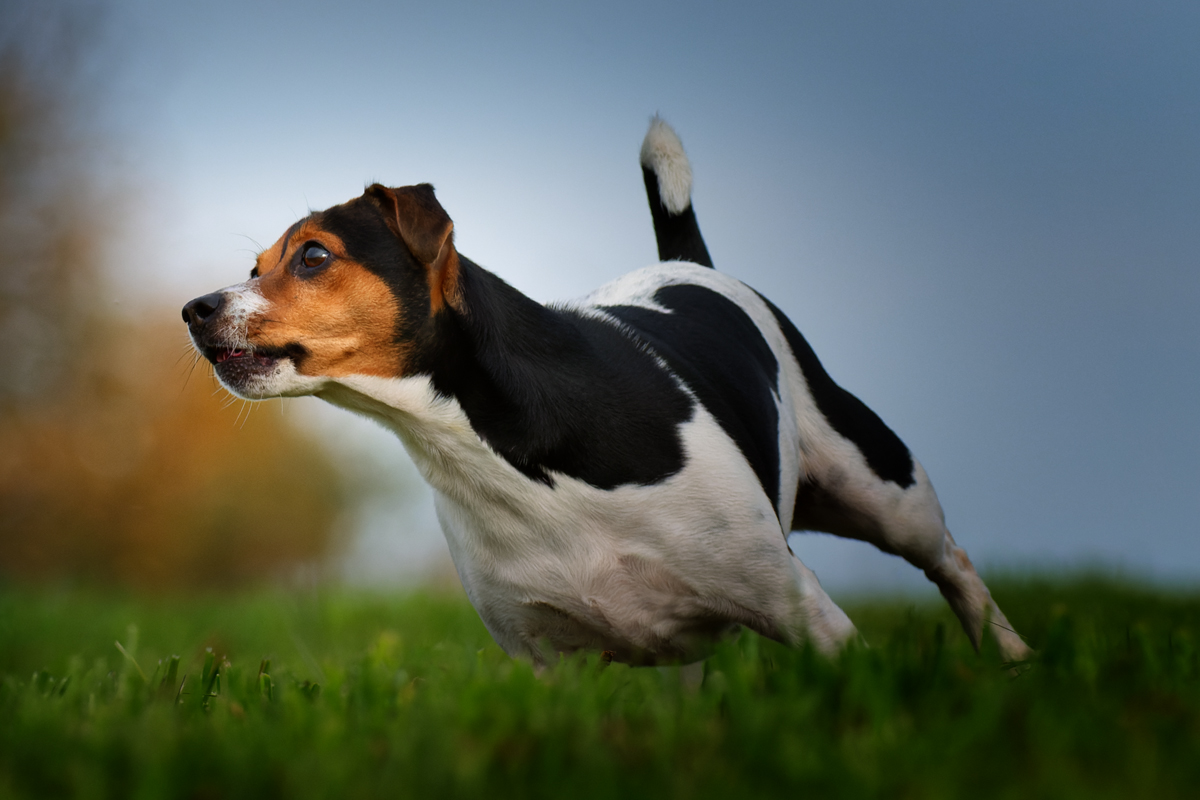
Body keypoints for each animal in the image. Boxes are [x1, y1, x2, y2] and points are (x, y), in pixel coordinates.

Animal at [182, 115, 1027, 666]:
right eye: (255, 266)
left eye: (314, 257)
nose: (194, 309)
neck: (498, 457)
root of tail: (690, 261)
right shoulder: (548, 659)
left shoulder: (808, 615)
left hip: (881, 488)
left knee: (949, 560)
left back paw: (1011, 657)